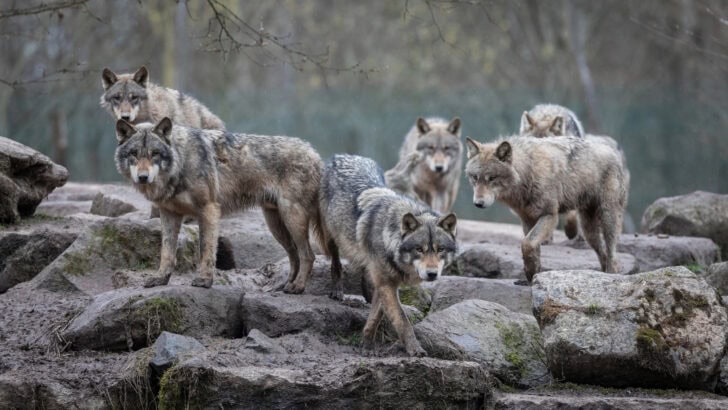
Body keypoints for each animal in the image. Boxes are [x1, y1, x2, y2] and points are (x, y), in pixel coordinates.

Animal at [114, 117, 324, 291]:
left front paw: (204, 280)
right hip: (276, 225)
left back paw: (297, 287)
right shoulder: (168, 214)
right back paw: (285, 285)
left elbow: (206, 249)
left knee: (308, 255)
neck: (181, 162)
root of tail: (315, 153)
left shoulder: (209, 209)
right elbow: (166, 252)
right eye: (134, 154)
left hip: (292, 219)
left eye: (155, 154)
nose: (143, 177)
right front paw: (160, 279)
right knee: (295, 256)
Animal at [320, 154, 457, 356]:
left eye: (440, 249)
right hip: (331, 236)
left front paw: (366, 345)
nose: (432, 274)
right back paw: (337, 290)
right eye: (419, 249)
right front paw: (415, 349)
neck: (389, 237)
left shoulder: (386, 284)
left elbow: (375, 317)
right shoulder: (387, 284)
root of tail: (343, 155)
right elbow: (402, 320)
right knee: (336, 262)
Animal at [465, 135, 627, 283]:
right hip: (588, 230)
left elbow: (527, 244)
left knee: (611, 252)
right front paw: (533, 274)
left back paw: (611, 275)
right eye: (475, 177)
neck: (528, 172)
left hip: (607, 219)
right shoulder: (527, 220)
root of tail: (613, 151)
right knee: (603, 253)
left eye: (492, 178)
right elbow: (532, 247)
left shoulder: (549, 215)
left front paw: (531, 273)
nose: (478, 203)